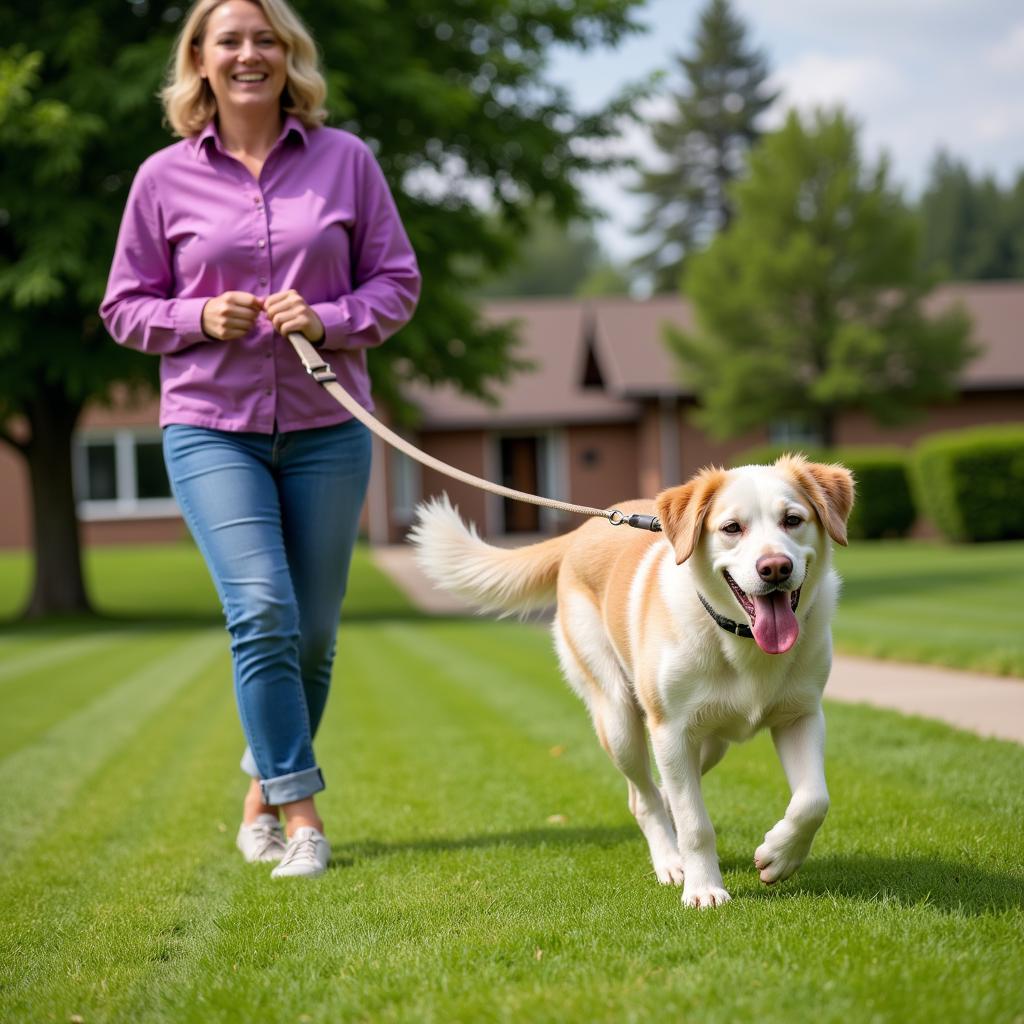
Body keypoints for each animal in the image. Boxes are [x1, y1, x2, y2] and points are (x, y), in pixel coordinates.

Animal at [403, 460, 851, 909]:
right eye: (731, 528)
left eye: (792, 520)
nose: (775, 567)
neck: (740, 640)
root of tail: (583, 530)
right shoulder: (671, 731)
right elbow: (695, 824)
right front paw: (703, 888)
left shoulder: (801, 716)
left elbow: (814, 800)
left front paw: (780, 855)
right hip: (619, 719)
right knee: (643, 798)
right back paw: (670, 861)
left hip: (711, 741)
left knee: (664, 789)